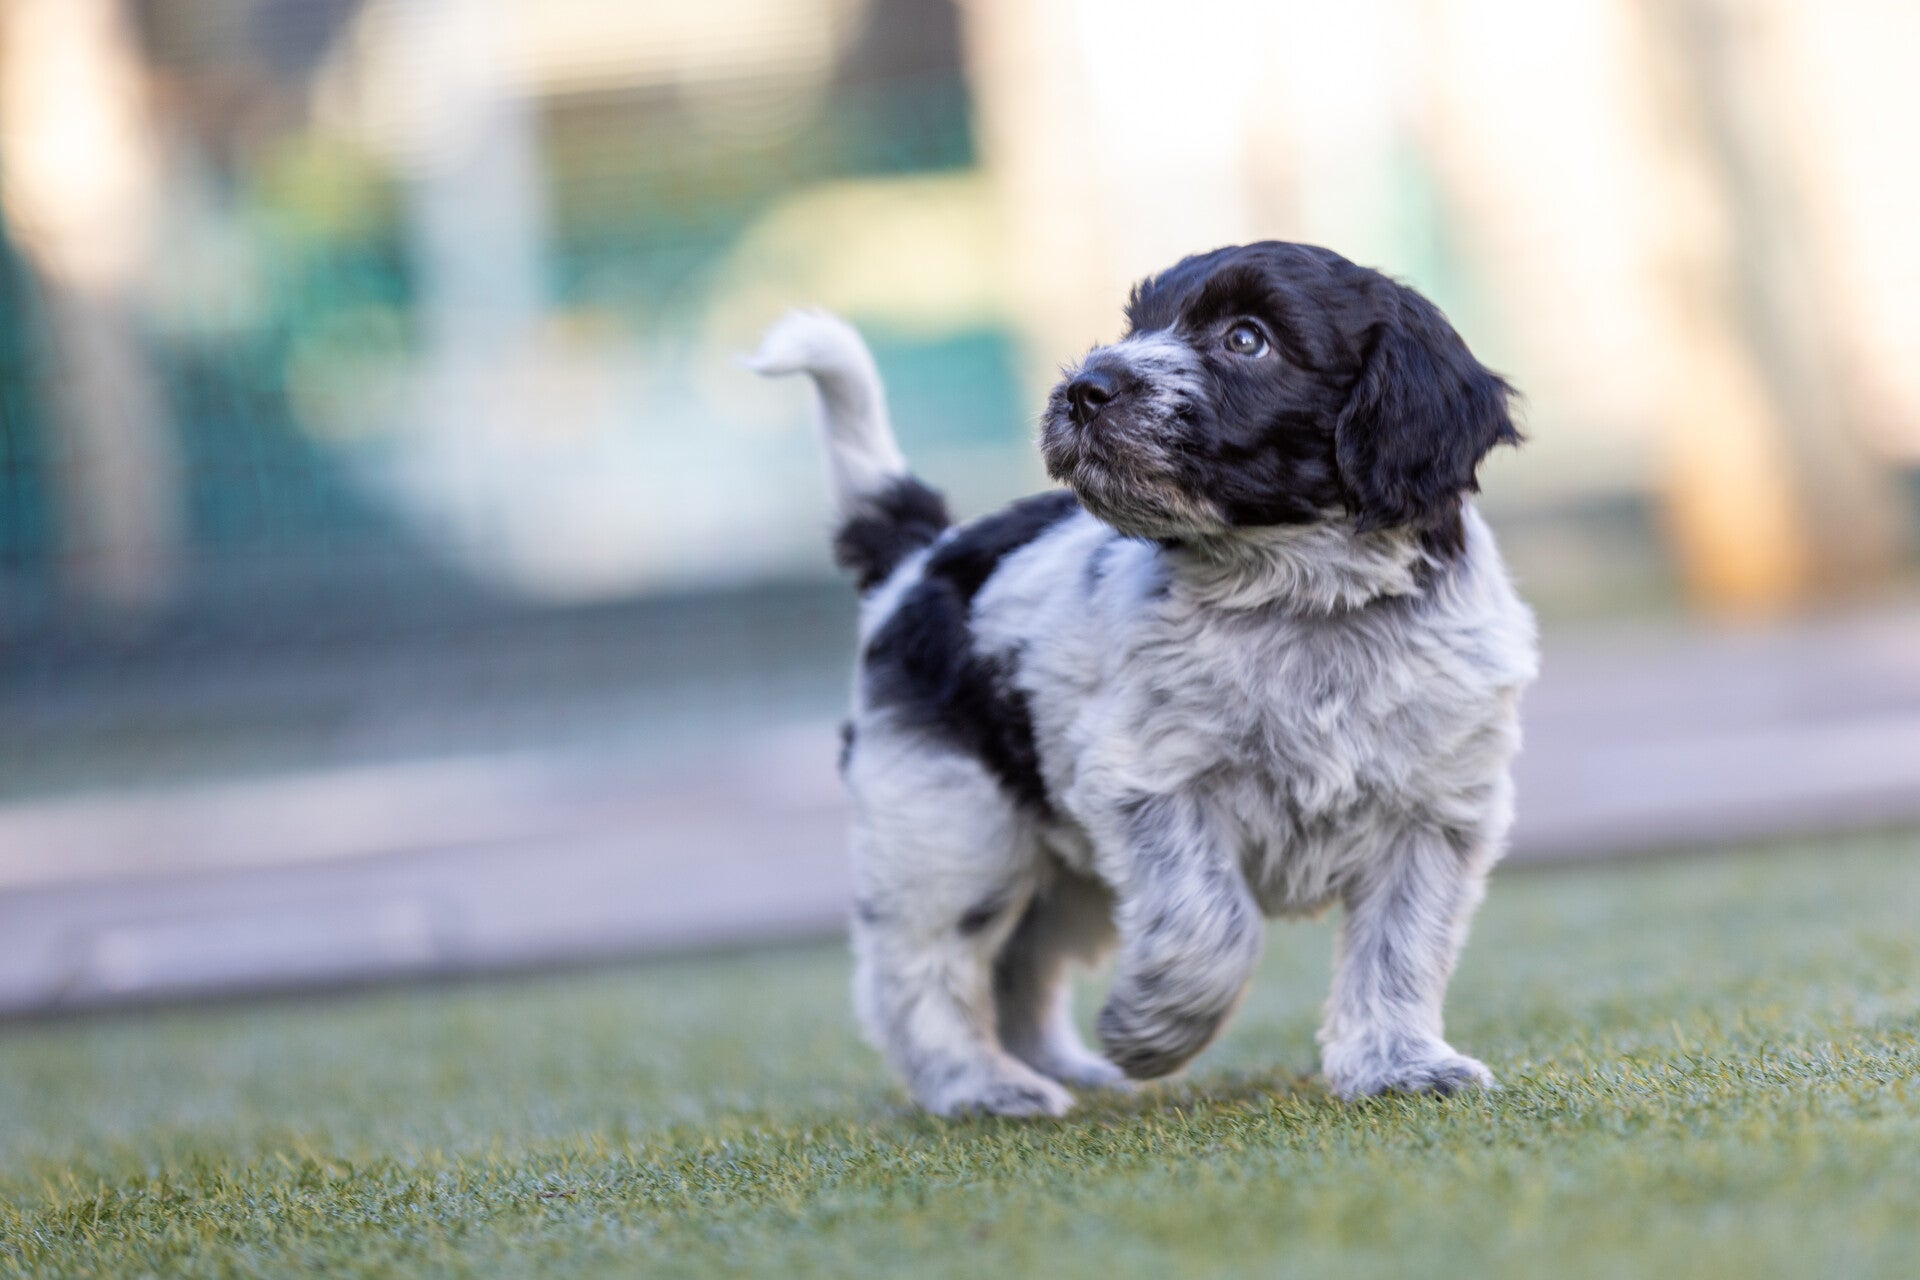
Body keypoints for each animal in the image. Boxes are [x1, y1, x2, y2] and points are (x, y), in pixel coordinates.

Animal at [751, 240, 1537, 1116]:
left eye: (1247, 338)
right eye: (1138, 325)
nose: (1084, 389)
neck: (1301, 596)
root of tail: (922, 559)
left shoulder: (1436, 812)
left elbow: (1401, 946)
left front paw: (1398, 1064)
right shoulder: (1151, 785)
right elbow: (1213, 924)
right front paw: (1153, 1030)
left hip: (1058, 866)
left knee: (1019, 964)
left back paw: (1058, 1070)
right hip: (952, 830)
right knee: (919, 974)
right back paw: (978, 1085)